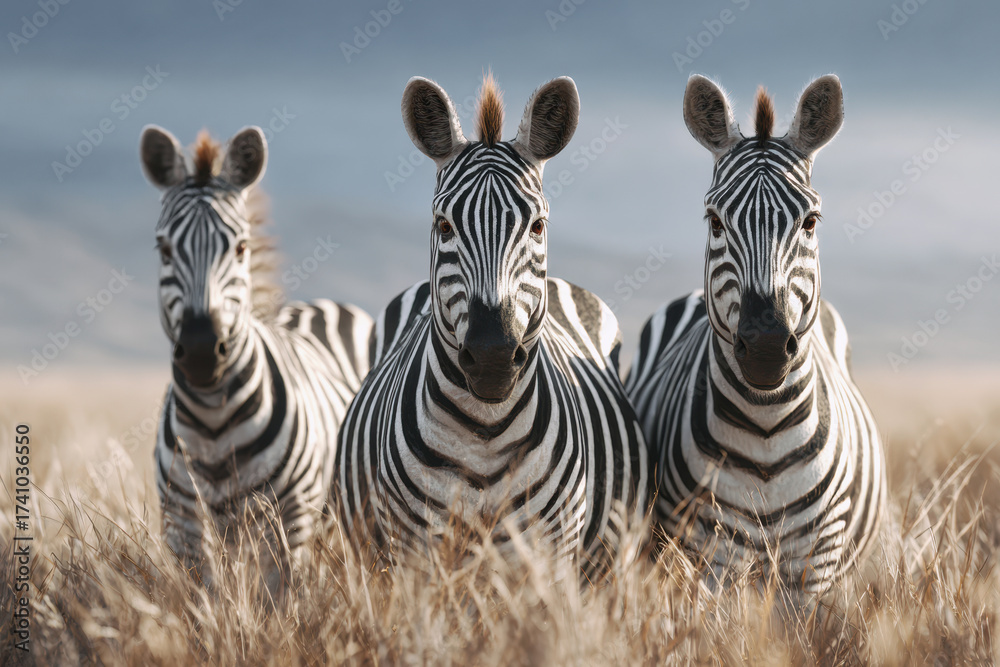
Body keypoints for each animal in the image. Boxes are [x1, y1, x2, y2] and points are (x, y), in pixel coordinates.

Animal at [139, 125, 374, 590]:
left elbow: (274, 598)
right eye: (164, 250)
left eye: (241, 247)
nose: (200, 351)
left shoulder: (289, 522)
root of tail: (318, 305)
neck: (212, 420)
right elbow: (207, 600)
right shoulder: (182, 523)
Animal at [335, 74, 648, 578]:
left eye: (537, 225)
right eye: (444, 225)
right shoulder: (414, 555)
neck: (484, 433)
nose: (492, 358)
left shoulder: (549, 555)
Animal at [625, 75, 885, 594]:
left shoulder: (816, 564)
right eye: (714, 221)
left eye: (810, 222)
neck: (767, 427)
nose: (765, 349)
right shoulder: (711, 554)